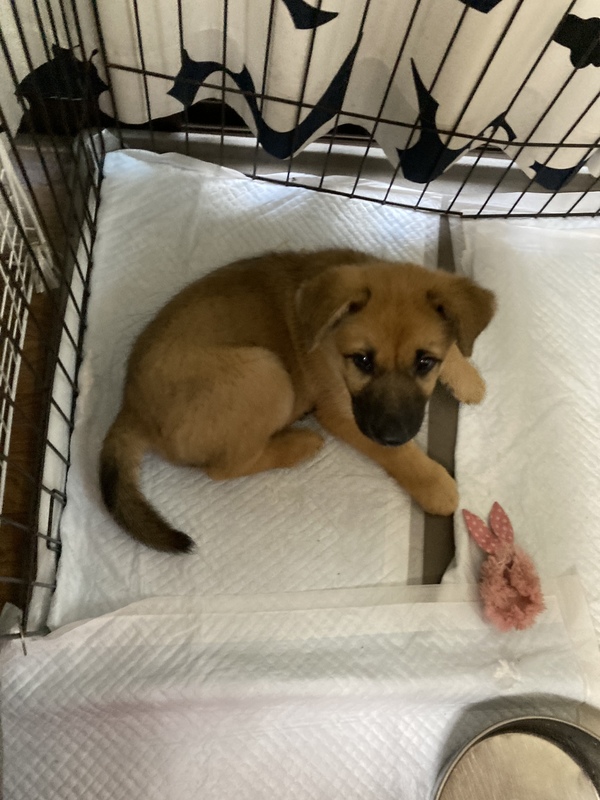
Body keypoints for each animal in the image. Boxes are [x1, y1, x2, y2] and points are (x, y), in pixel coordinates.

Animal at [100, 249, 495, 553]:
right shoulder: (342, 412)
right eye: (362, 361)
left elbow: (456, 345)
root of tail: (129, 409)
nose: (392, 433)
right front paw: (434, 484)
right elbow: (399, 456)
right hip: (266, 372)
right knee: (226, 468)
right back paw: (298, 443)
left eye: (425, 362)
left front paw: (468, 378)